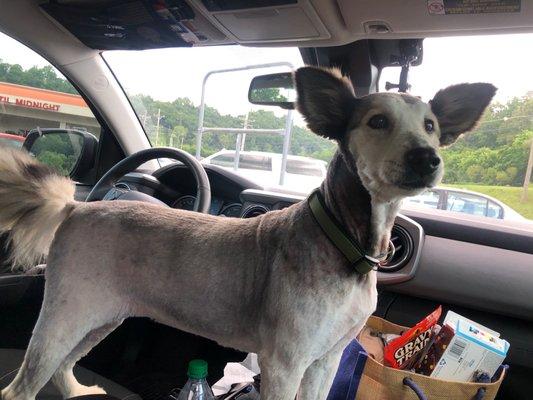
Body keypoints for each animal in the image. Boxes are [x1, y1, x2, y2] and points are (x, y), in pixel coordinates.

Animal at [0, 66, 494, 400]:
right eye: (377, 122)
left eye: (430, 126)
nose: (427, 157)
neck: (346, 241)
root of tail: (79, 207)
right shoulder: (285, 362)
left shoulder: (326, 359)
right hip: (67, 311)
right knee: (23, 385)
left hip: (102, 315)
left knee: (63, 364)